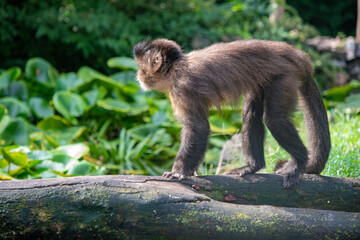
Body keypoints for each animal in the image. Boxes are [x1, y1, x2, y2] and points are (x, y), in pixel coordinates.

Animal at [133, 38, 332, 188]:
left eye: (141, 67)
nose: (137, 75)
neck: (176, 68)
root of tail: (297, 55)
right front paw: (191, 171)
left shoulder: (182, 88)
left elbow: (199, 127)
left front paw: (179, 172)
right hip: (265, 77)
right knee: (251, 114)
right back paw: (253, 166)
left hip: (284, 76)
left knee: (275, 119)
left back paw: (299, 163)